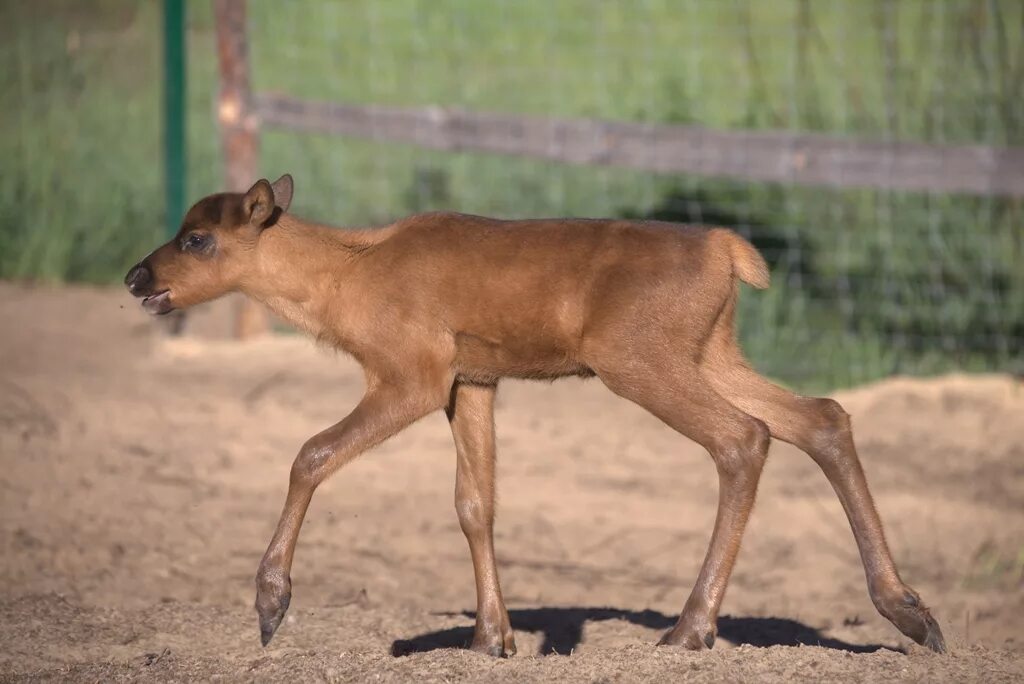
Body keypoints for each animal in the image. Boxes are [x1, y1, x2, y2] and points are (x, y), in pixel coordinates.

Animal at [123, 175, 946, 651]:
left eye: (198, 237)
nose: (136, 276)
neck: (344, 284)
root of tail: (728, 252)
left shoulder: (414, 373)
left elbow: (311, 453)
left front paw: (270, 604)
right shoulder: (474, 379)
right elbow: (475, 502)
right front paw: (493, 638)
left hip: (637, 358)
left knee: (745, 437)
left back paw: (691, 628)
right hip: (709, 349)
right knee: (821, 416)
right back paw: (911, 612)